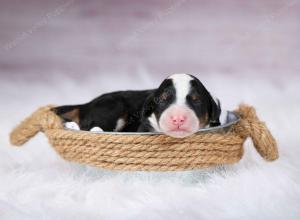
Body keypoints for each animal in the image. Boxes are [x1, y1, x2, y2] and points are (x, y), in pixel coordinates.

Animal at [54, 73, 220, 138]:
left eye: (196, 100)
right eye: (163, 99)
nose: (178, 118)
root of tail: (86, 104)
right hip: (113, 107)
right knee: (89, 127)